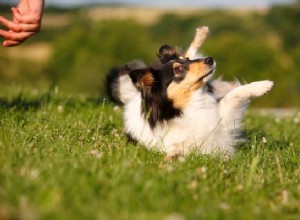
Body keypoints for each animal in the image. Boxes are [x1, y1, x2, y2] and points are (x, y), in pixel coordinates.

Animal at [106, 26, 274, 157]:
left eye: (186, 60)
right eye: (178, 69)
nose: (210, 59)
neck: (185, 107)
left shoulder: (221, 118)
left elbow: (235, 94)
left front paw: (262, 86)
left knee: (194, 52)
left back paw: (202, 34)